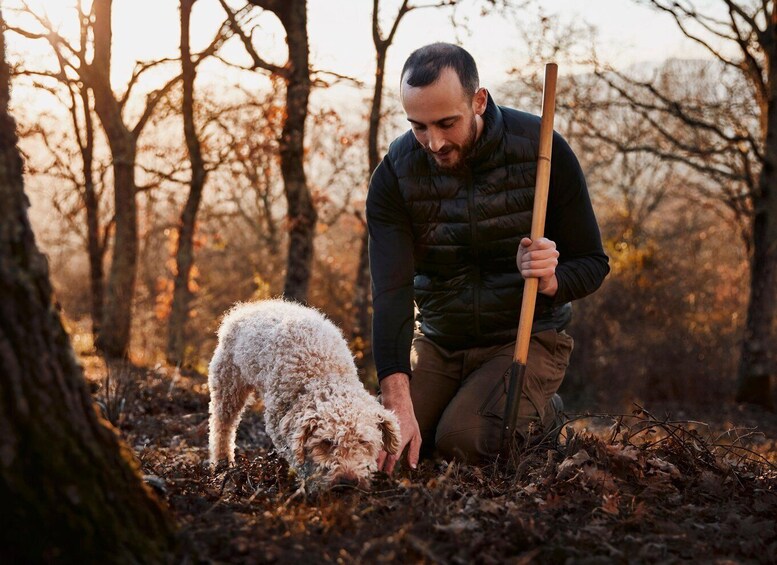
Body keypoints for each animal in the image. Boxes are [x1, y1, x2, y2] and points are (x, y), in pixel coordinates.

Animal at [208, 300, 400, 490]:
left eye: (363, 442)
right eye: (326, 442)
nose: (347, 482)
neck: (324, 372)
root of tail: (244, 309)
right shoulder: (279, 421)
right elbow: (297, 455)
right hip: (228, 385)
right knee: (222, 427)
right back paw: (222, 464)